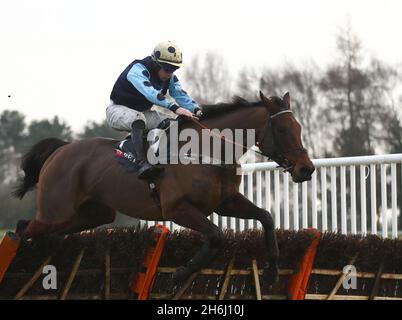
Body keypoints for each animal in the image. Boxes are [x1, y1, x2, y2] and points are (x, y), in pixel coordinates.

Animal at [12, 91, 314, 284]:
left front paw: (272, 269)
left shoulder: (225, 202)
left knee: (39, 232)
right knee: (23, 228)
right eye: (283, 130)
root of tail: (60, 150)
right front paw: (181, 273)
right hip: (56, 211)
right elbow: (216, 235)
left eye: (299, 127)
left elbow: (266, 217)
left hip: (91, 214)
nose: (306, 169)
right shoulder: (177, 209)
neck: (207, 151)